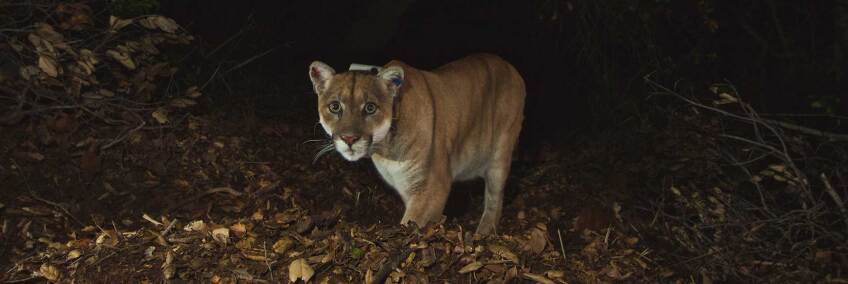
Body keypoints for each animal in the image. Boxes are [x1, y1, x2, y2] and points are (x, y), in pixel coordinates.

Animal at [308, 53, 528, 235]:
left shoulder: (432, 187)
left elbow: (411, 223)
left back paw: (483, 233)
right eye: (335, 106)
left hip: (500, 153)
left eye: (370, 108)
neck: (384, 149)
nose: (349, 139)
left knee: (495, 198)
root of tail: (510, 66)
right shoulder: (408, 187)